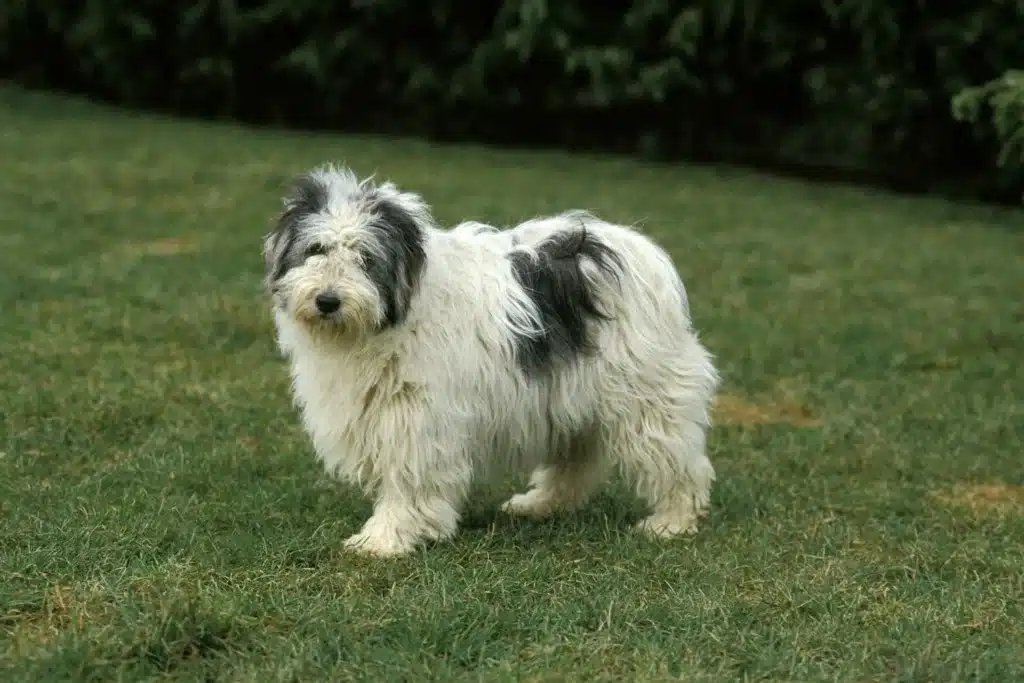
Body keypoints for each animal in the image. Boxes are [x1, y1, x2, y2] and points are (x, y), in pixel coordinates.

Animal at [260, 163, 716, 557]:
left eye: (365, 258)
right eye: (315, 249)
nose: (327, 301)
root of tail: (636, 248)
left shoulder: (417, 415)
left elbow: (409, 477)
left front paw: (385, 538)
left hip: (648, 394)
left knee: (677, 460)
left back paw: (672, 521)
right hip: (573, 391)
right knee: (576, 460)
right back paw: (540, 503)